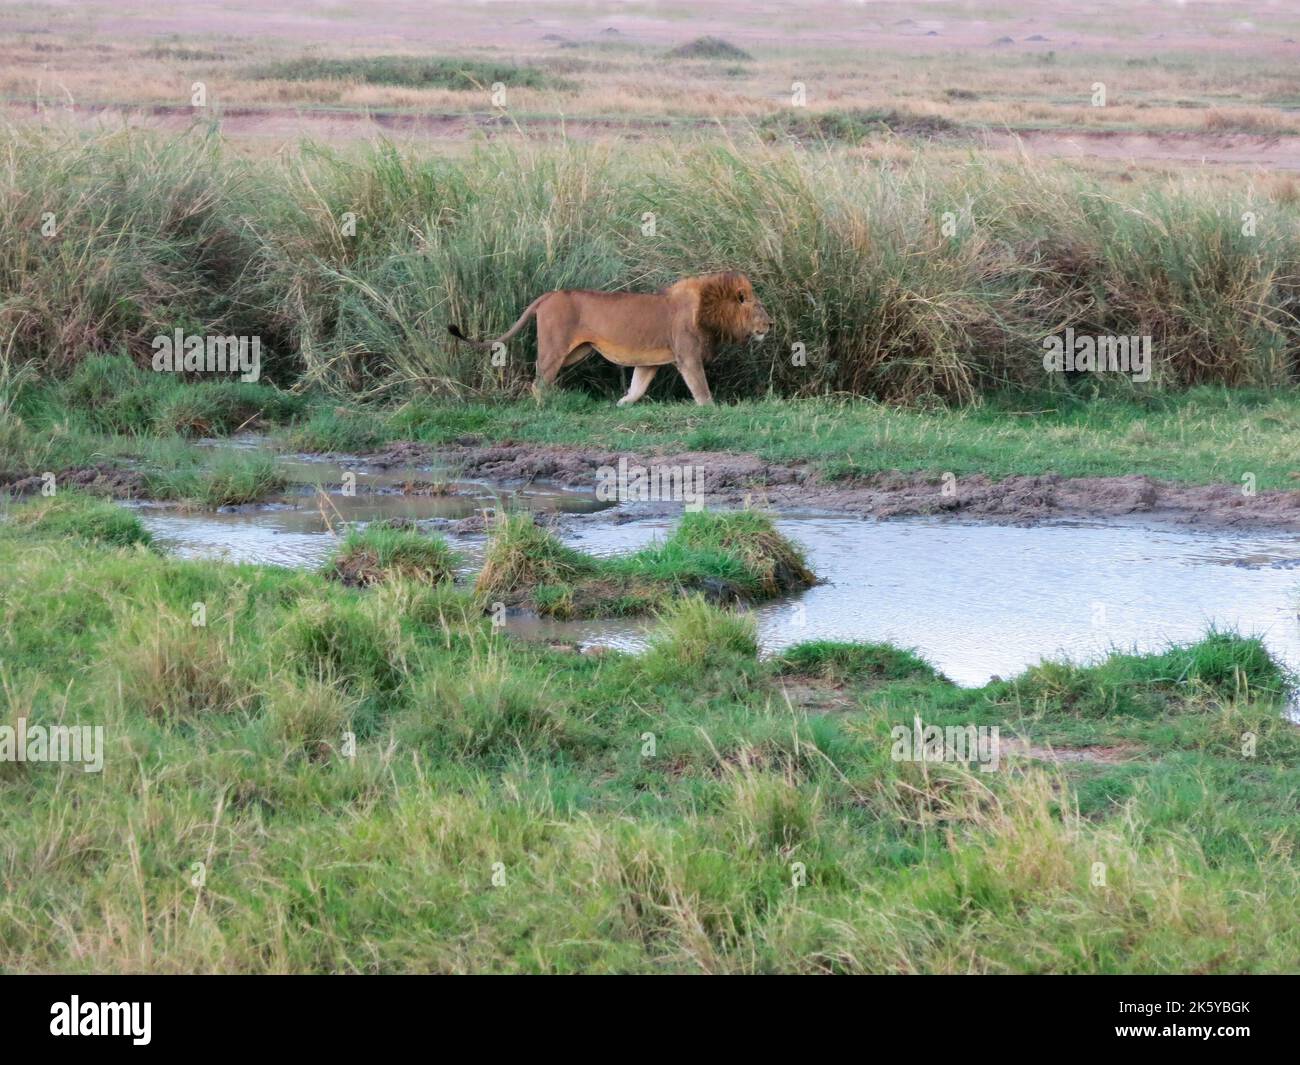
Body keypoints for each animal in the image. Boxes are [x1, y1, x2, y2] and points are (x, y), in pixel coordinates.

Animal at [449, 273, 769, 405]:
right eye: (758, 307)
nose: (771, 324)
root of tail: (548, 295)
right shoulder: (687, 356)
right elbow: (701, 388)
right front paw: (711, 408)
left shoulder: (649, 362)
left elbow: (638, 386)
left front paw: (622, 402)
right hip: (556, 348)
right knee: (539, 381)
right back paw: (546, 405)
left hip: (577, 351)